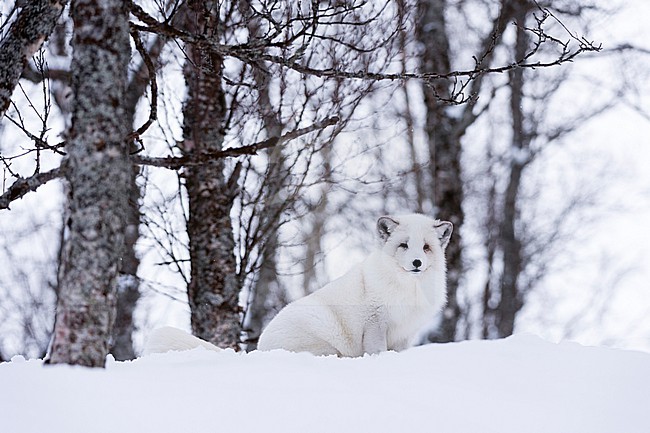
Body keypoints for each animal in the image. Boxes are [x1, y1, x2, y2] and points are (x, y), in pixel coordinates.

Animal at [144, 214, 452, 357]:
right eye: (404, 246)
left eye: (426, 247)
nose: (416, 262)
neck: (409, 290)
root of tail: (259, 350)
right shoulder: (375, 323)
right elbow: (375, 351)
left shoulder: (406, 334)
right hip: (325, 344)